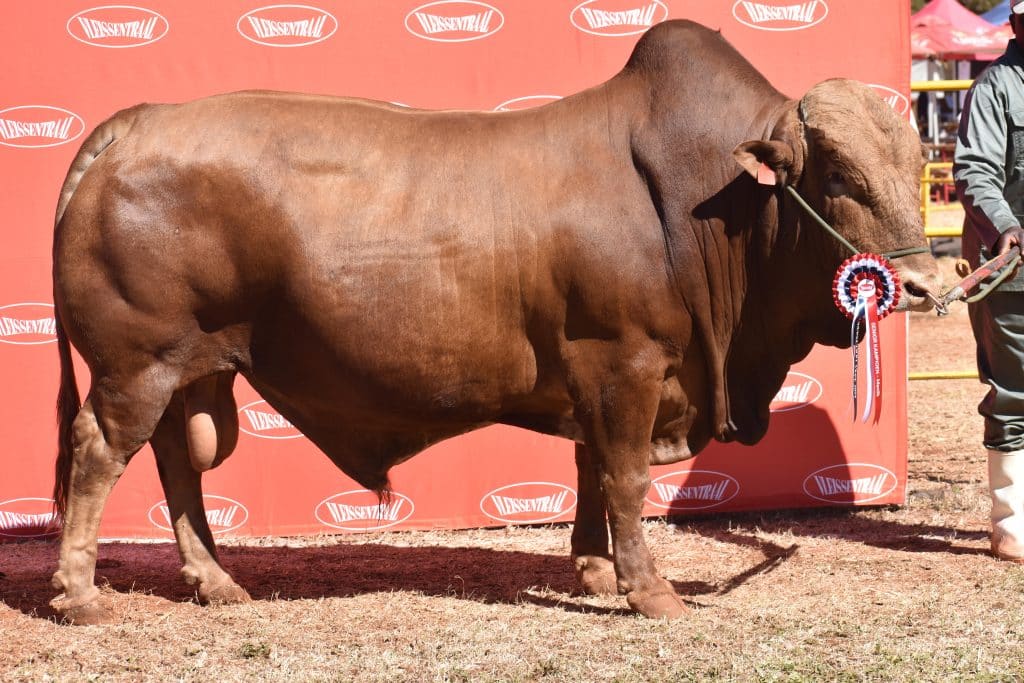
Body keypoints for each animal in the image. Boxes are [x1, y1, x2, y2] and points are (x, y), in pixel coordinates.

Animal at [51, 21, 937, 622]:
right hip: (136, 363)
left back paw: (216, 580)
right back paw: (79, 593)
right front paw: (649, 590)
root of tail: (138, 119)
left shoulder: (597, 377)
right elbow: (625, 476)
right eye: (836, 174)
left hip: (188, 366)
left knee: (177, 462)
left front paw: (595, 570)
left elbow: (590, 470)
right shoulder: (627, 362)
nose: (925, 283)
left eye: (915, 161)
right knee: (100, 452)